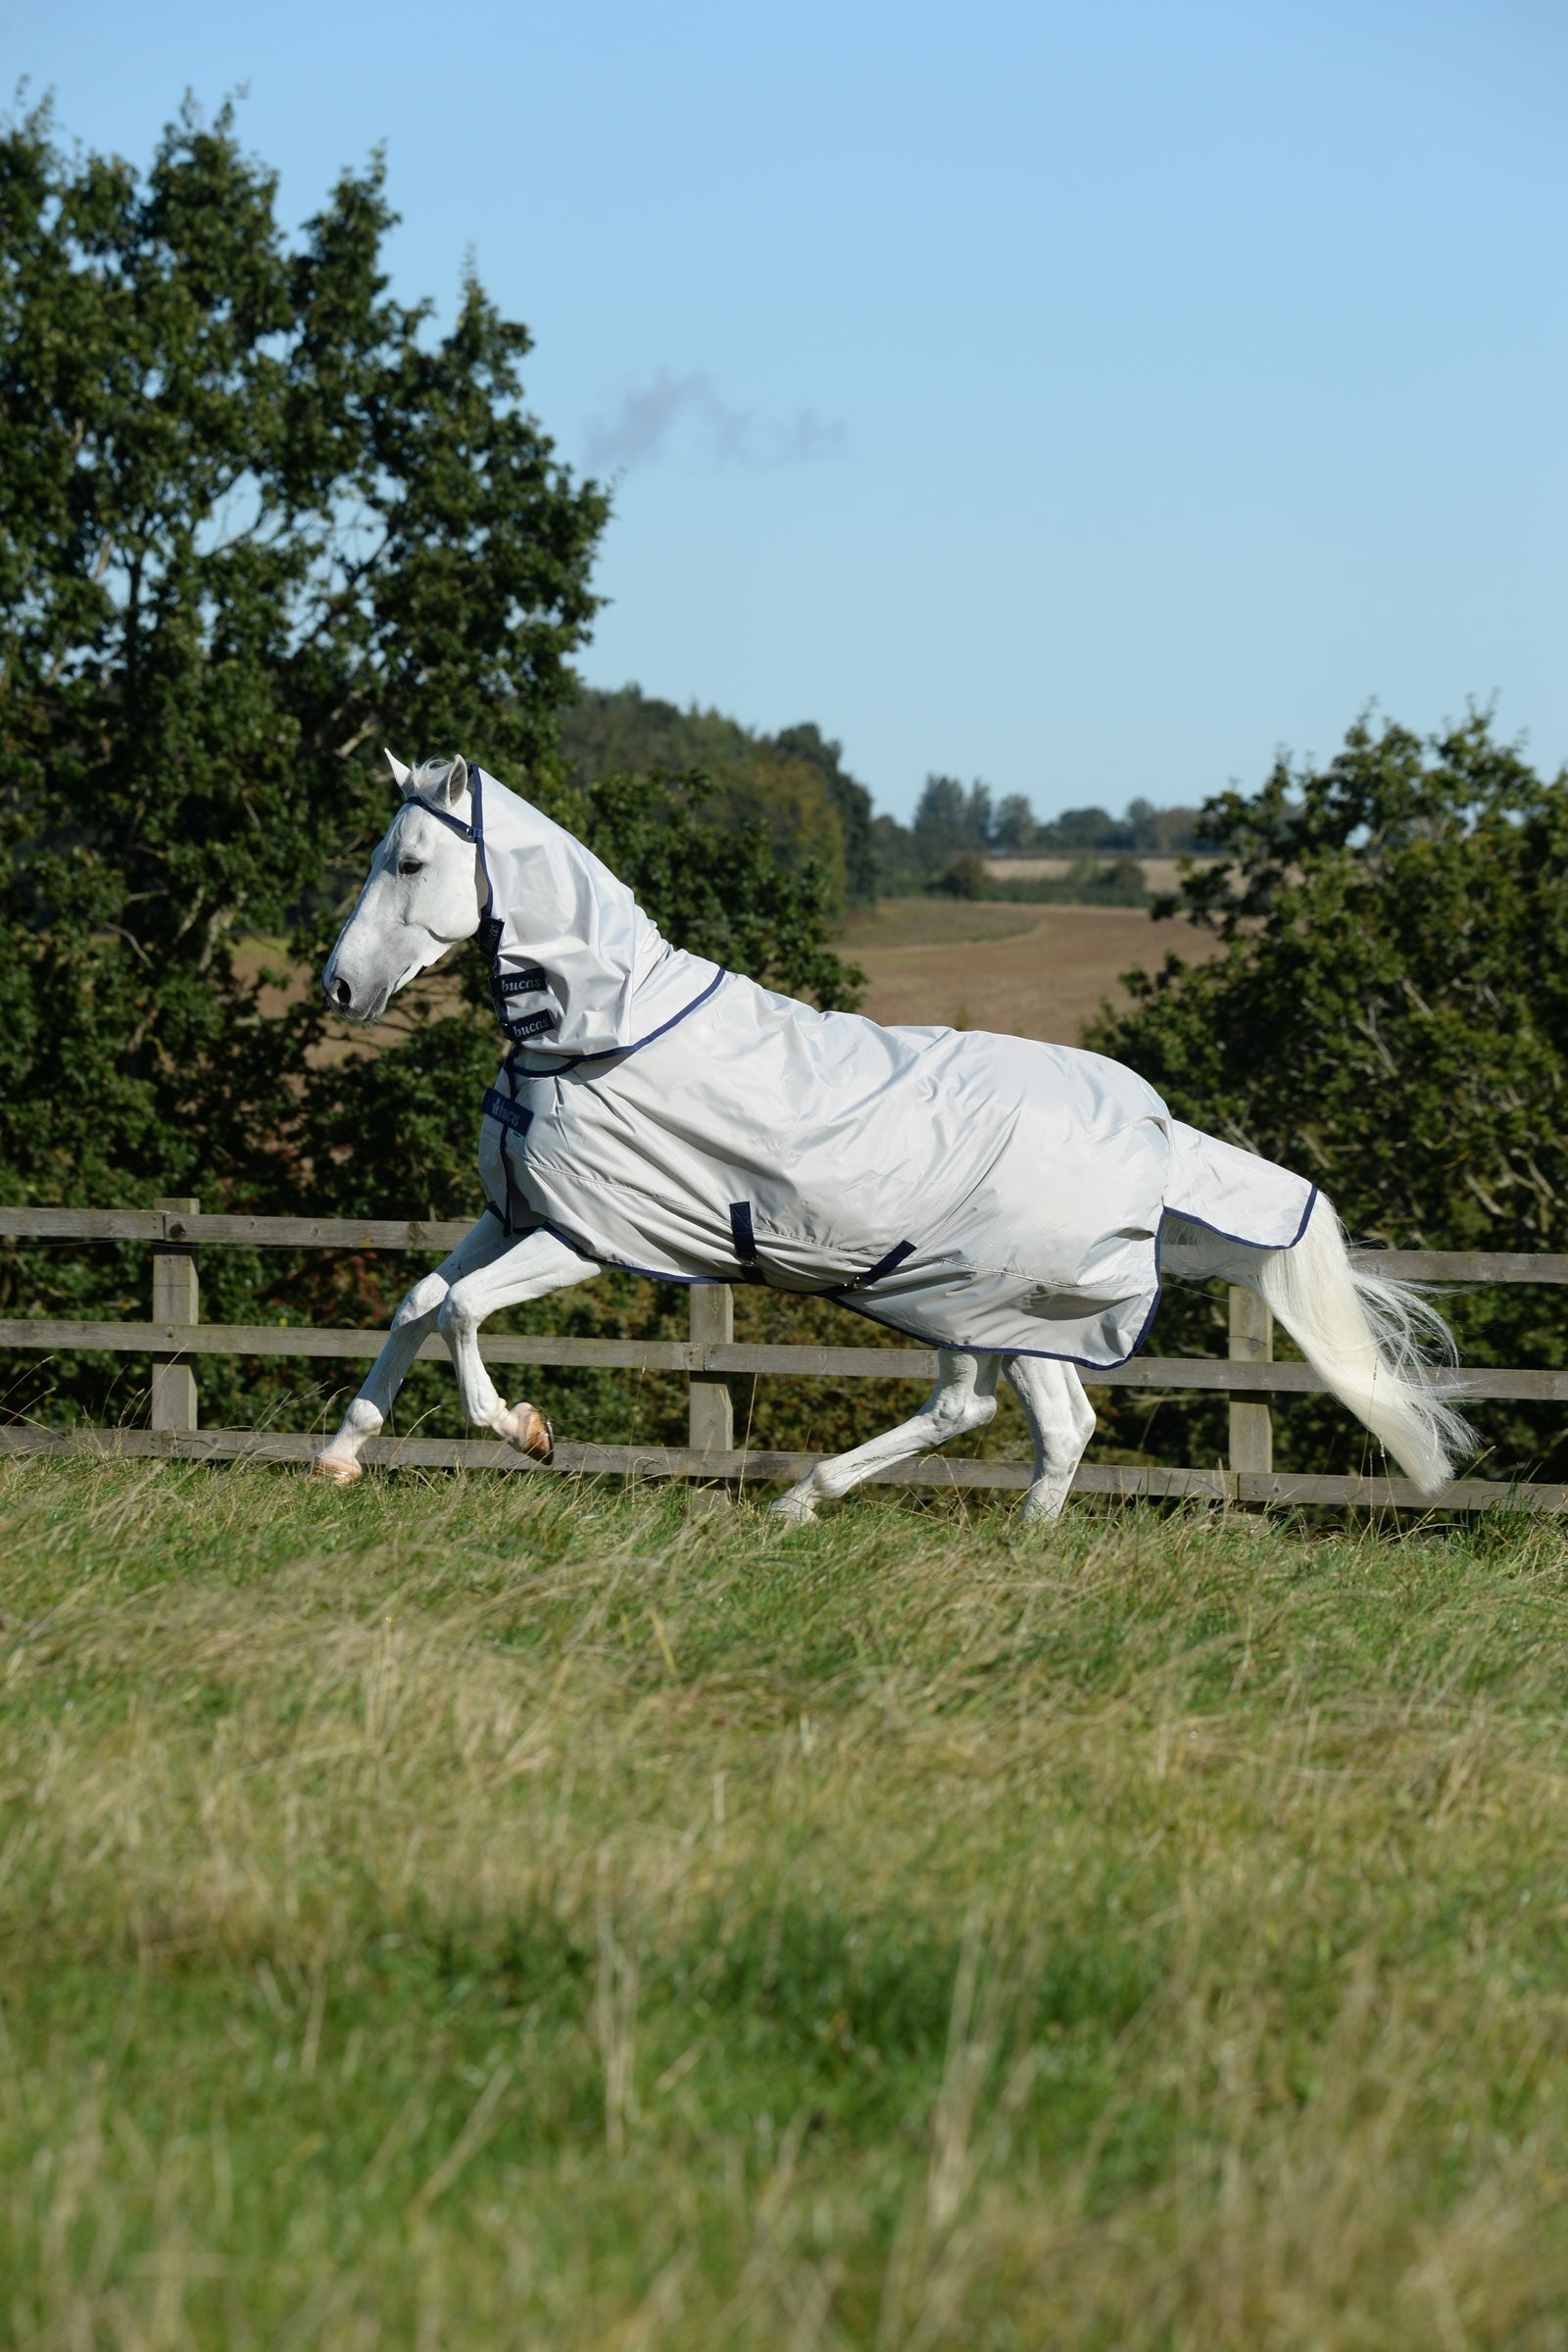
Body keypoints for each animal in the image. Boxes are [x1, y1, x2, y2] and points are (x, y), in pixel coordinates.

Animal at [311, 753, 1467, 1520]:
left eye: (409, 861)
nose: (339, 987)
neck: (597, 1033)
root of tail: (1155, 1127)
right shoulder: (514, 1212)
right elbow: (418, 1299)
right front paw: (340, 1455)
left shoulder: (585, 1238)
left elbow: (462, 1310)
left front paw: (525, 1430)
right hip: (1001, 1312)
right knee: (1042, 1425)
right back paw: (954, 1532)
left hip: (987, 1301)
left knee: (990, 1415)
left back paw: (820, 1504)